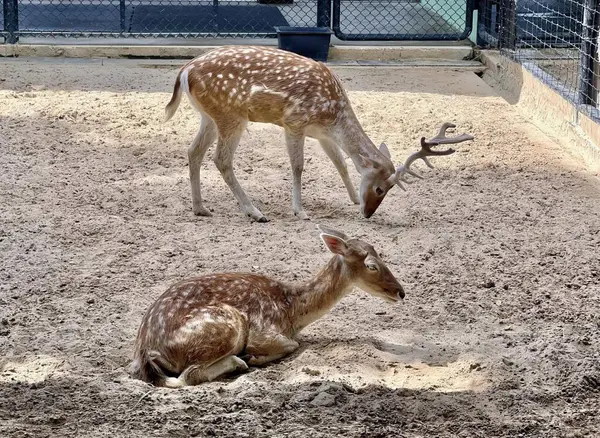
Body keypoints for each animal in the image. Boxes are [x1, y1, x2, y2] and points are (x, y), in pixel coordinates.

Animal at [129, 226, 406, 386]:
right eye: (371, 265)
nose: (401, 292)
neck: (292, 311)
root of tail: (146, 348)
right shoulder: (264, 331)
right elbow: (292, 344)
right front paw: (253, 356)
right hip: (225, 323)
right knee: (187, 375)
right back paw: (238, 362)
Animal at [164, 46, 474, 221]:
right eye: (380, 189)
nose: (368, 213)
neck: (332, 114)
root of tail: (184, 71)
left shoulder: (322, 134)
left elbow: (341, 164)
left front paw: (351, 199)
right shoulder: (295, 121)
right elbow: (298, 166)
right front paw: (300, 211)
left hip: (209, 116)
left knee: (193, 151)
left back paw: (200, 208)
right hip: (232, 116)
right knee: (222, 160)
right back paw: (255, 212)